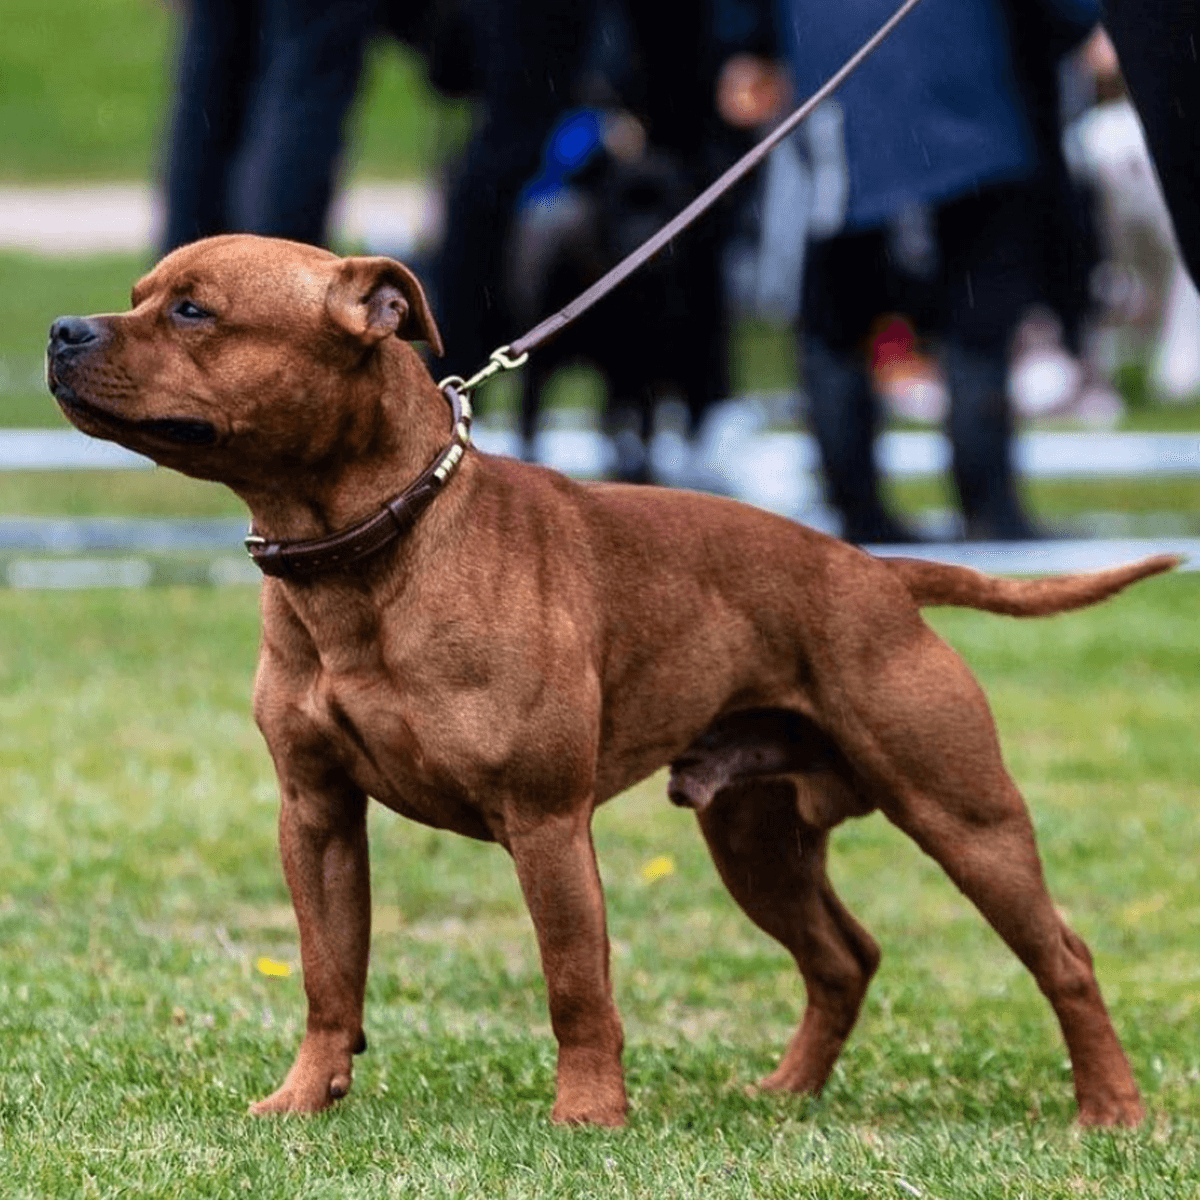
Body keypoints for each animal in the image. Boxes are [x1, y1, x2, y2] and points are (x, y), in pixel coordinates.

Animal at [46, 231, 1171, 1123]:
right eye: (141, 293)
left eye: (193, 310)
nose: (61, 330)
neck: (372, 548)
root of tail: (875, 569)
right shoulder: (315, 815)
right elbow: (331, 975)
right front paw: (304, 1099)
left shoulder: (545, 823)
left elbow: (574, 981)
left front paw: (588, 1116)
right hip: (755, 839)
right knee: (843, 956)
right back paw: (786, 1095)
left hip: (964, 816)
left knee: (1063, 958)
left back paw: (1111, 1111)